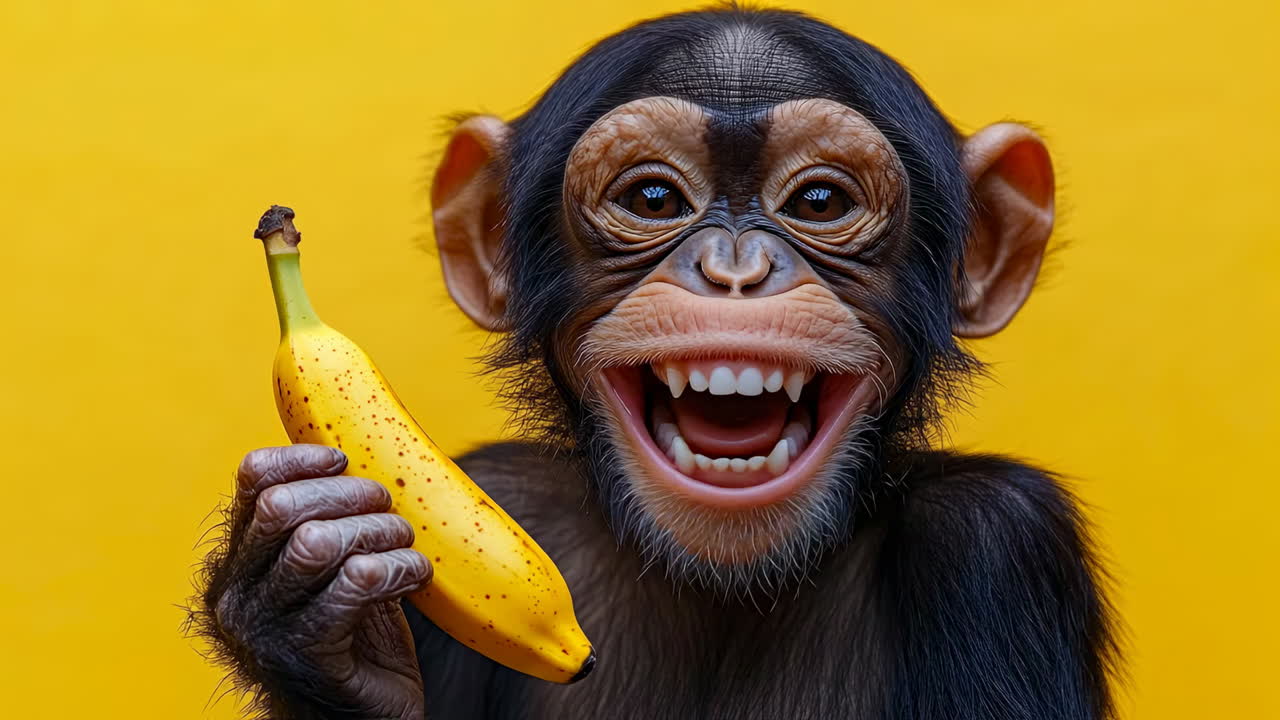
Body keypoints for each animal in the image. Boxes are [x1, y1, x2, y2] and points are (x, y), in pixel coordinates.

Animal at [191, 7, 1120, 719]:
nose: (736, 269)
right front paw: (307, 594)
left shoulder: (1000, 542)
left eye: (821, 201)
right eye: (652, 198)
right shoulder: (501, 483)